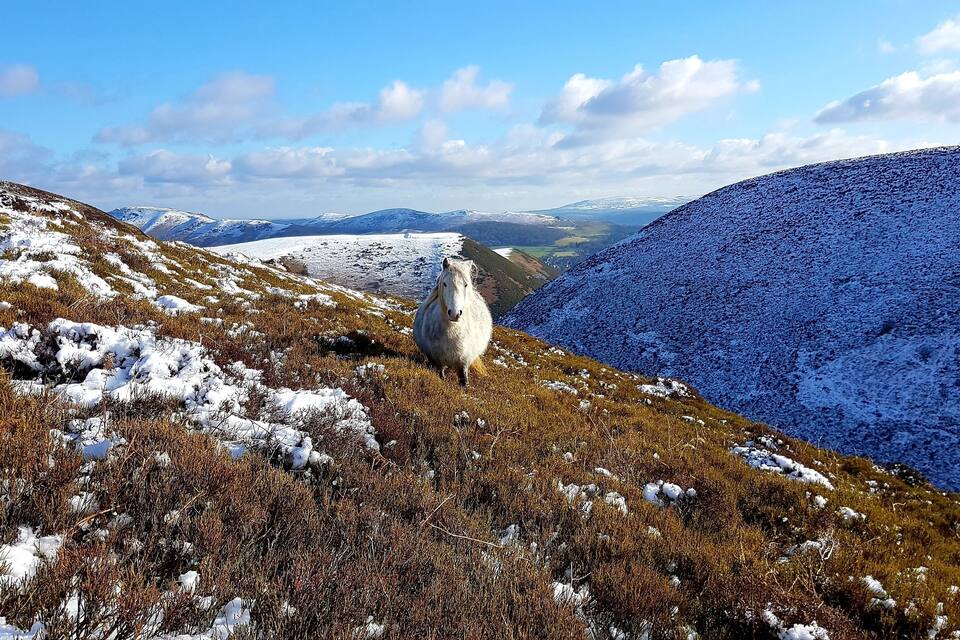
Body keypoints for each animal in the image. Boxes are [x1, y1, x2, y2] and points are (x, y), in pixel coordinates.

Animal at [413, 257, 492, 387]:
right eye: (445, 284)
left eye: (466, 285)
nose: (455, 314)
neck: (451, 330)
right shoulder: (436, 359)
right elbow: (441, 374)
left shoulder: (463, 361)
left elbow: (464, 379)